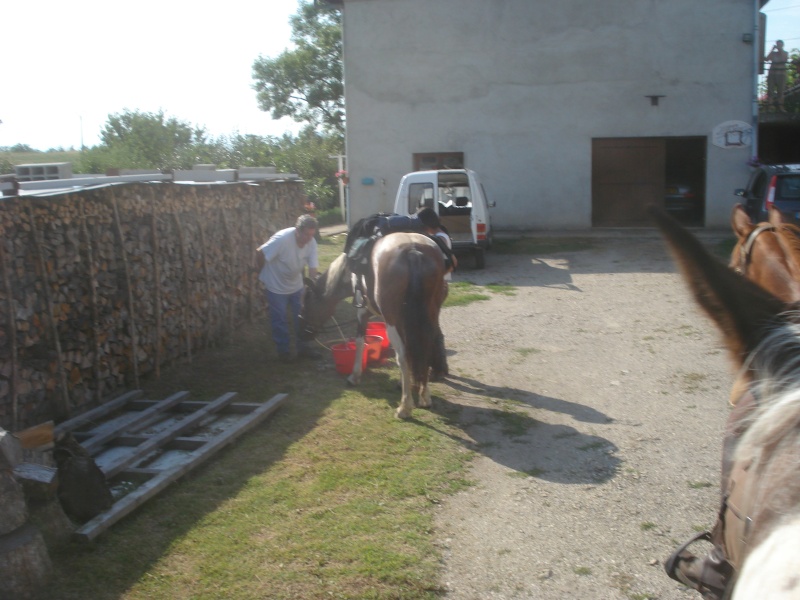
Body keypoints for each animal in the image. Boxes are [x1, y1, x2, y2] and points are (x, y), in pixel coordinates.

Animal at [302, 232, 446, 420]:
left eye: (306, 302)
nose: (304, 332)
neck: (349, 273)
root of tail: (413, 249)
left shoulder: (362, 313)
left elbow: (360, 342)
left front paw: (354, 376)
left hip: (393, 319)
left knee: (402, 356)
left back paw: (404, 407)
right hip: (430, 315)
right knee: (426, 348)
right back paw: (424, 397)